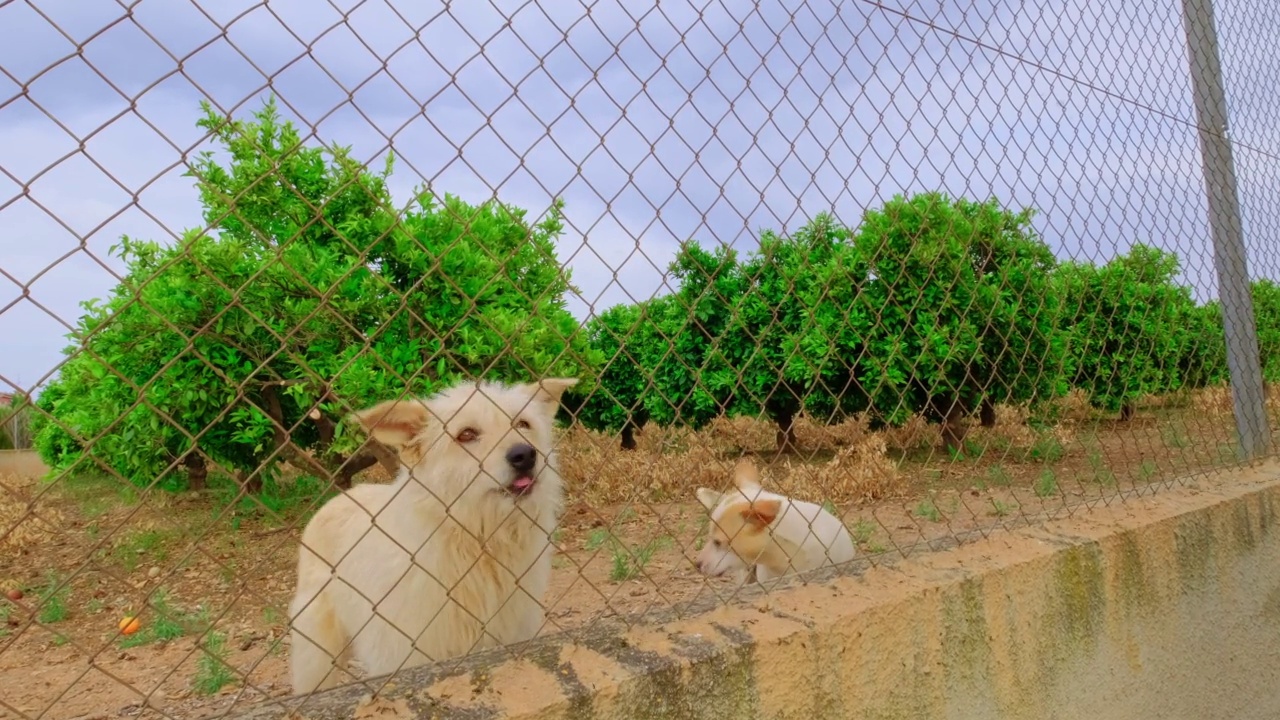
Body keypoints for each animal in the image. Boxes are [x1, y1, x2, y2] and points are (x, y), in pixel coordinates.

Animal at [290, 379, 581, 691]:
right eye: (466, 434)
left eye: (523, 424)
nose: (525, 455)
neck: (477, 542)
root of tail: (339, 498)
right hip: (317, 657)